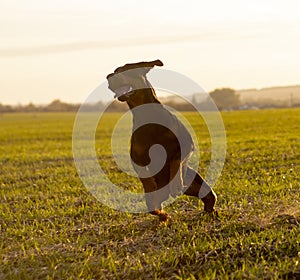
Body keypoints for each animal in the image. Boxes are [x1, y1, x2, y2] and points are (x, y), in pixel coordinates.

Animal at [106, 59, 217, 221]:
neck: (146, 114)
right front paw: (150, 186)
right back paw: (164, 216)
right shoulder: (136, 156)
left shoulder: (187, 143)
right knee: (154, 207)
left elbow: (177, 159)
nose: (108, 76)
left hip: (195, 182)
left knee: (210, 196)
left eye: (126, 70)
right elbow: (142, 173)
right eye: (114, 71)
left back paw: (208, 211)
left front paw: (176, 183)